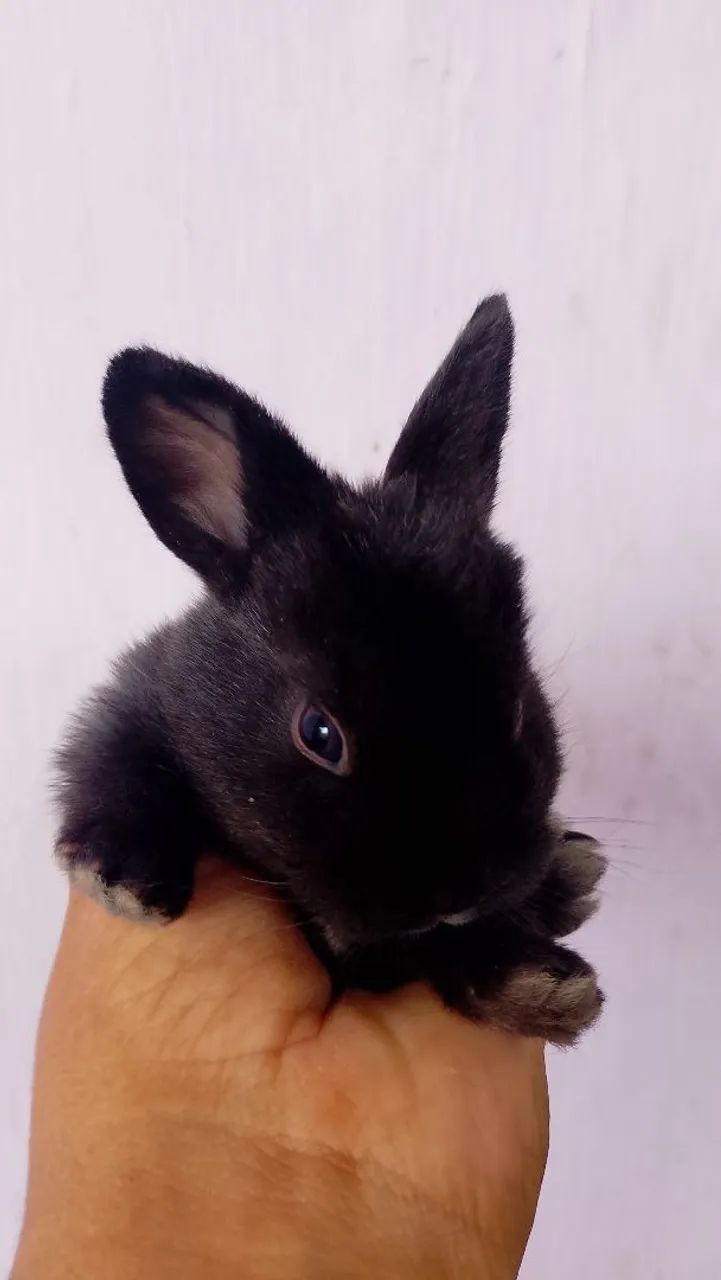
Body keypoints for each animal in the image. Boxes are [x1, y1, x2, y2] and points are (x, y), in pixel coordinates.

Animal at [54, 294, 606, 1047]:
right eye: (319, 735)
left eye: (521, 710)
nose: (455, 893)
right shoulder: (132, 702)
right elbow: (111, 763)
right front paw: (122, 878)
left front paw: (535, 972)